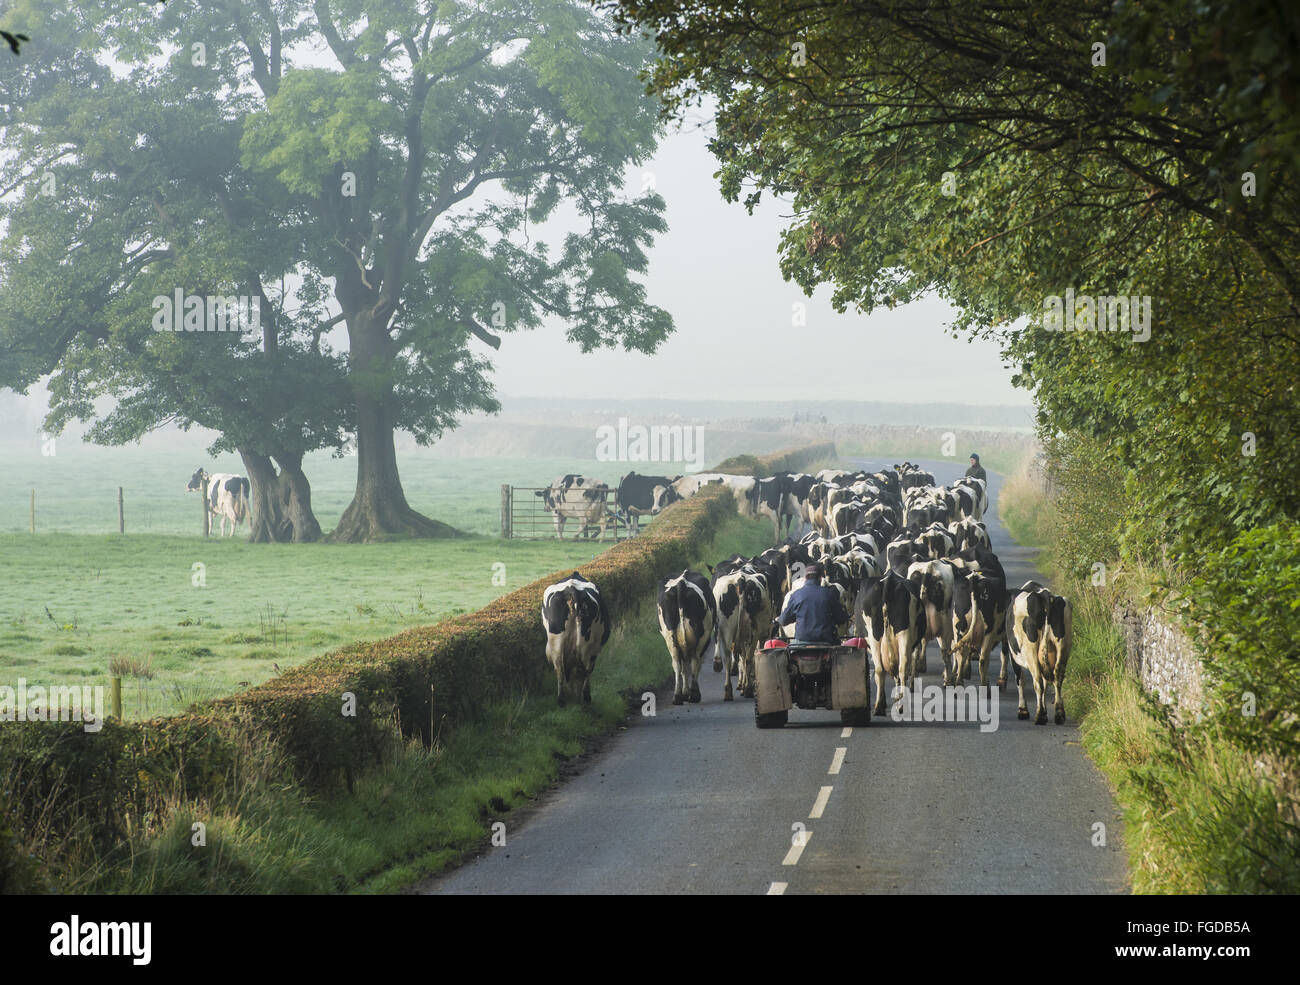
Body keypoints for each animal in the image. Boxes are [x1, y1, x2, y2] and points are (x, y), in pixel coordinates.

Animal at [543, 574, 613, 706]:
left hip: (556, 642)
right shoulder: (595, 650)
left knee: (560, 668)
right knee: (582, 669)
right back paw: (581, 699)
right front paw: (586, 696)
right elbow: (589, 670)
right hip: (585, 644)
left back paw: (561, 700)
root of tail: (572, 589)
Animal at [655, 571, 717, 712]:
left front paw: (684, 692)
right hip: (702, 637)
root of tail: (680, 583)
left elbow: (683, 668)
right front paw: (687, 692)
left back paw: (677, 697)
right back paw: (694, 695)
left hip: (670, 638)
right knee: (695, 661)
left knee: (677, 664)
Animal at [1003, 579, 1076, 727]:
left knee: (1037, 682)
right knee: (1057, 678)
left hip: (1031, 650)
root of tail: (1045, 595)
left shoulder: (1014, 656)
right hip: (1063, 647)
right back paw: (1059, 714)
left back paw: (1040, 716)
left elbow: (1020, 680)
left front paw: (1023, 710)